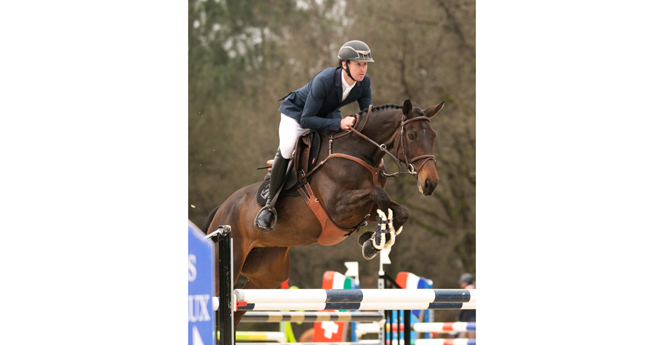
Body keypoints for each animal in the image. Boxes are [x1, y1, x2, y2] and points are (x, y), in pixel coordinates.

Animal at [204, 99, 446, 326]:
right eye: (412, 135)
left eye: (434, 136)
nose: (430, 183)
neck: (359, 152)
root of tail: (219, 214)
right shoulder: (338, 208)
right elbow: (380, 195)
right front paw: (375, 240)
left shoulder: (363, 209)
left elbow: (399, 211)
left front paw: (373, 239)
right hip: (231, 261)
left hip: (267, 276)